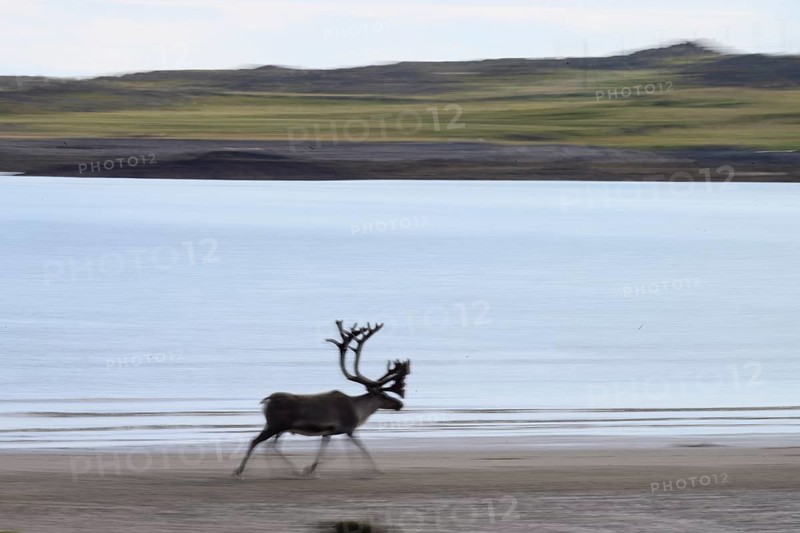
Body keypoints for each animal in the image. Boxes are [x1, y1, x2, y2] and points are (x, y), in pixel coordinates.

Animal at [233, 320, 410, 479]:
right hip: (275, 426)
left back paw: (285, 471)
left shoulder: (329, 432)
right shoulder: (348, 429)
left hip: (275, 427)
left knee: (269, 445)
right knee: (256, 441)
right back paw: (239, 471)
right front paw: (377, 470)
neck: (359, 410)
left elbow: (327, 451)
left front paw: (310, 469)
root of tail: (267, 399)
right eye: (384, 395)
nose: (400, 404)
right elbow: (360, 449)